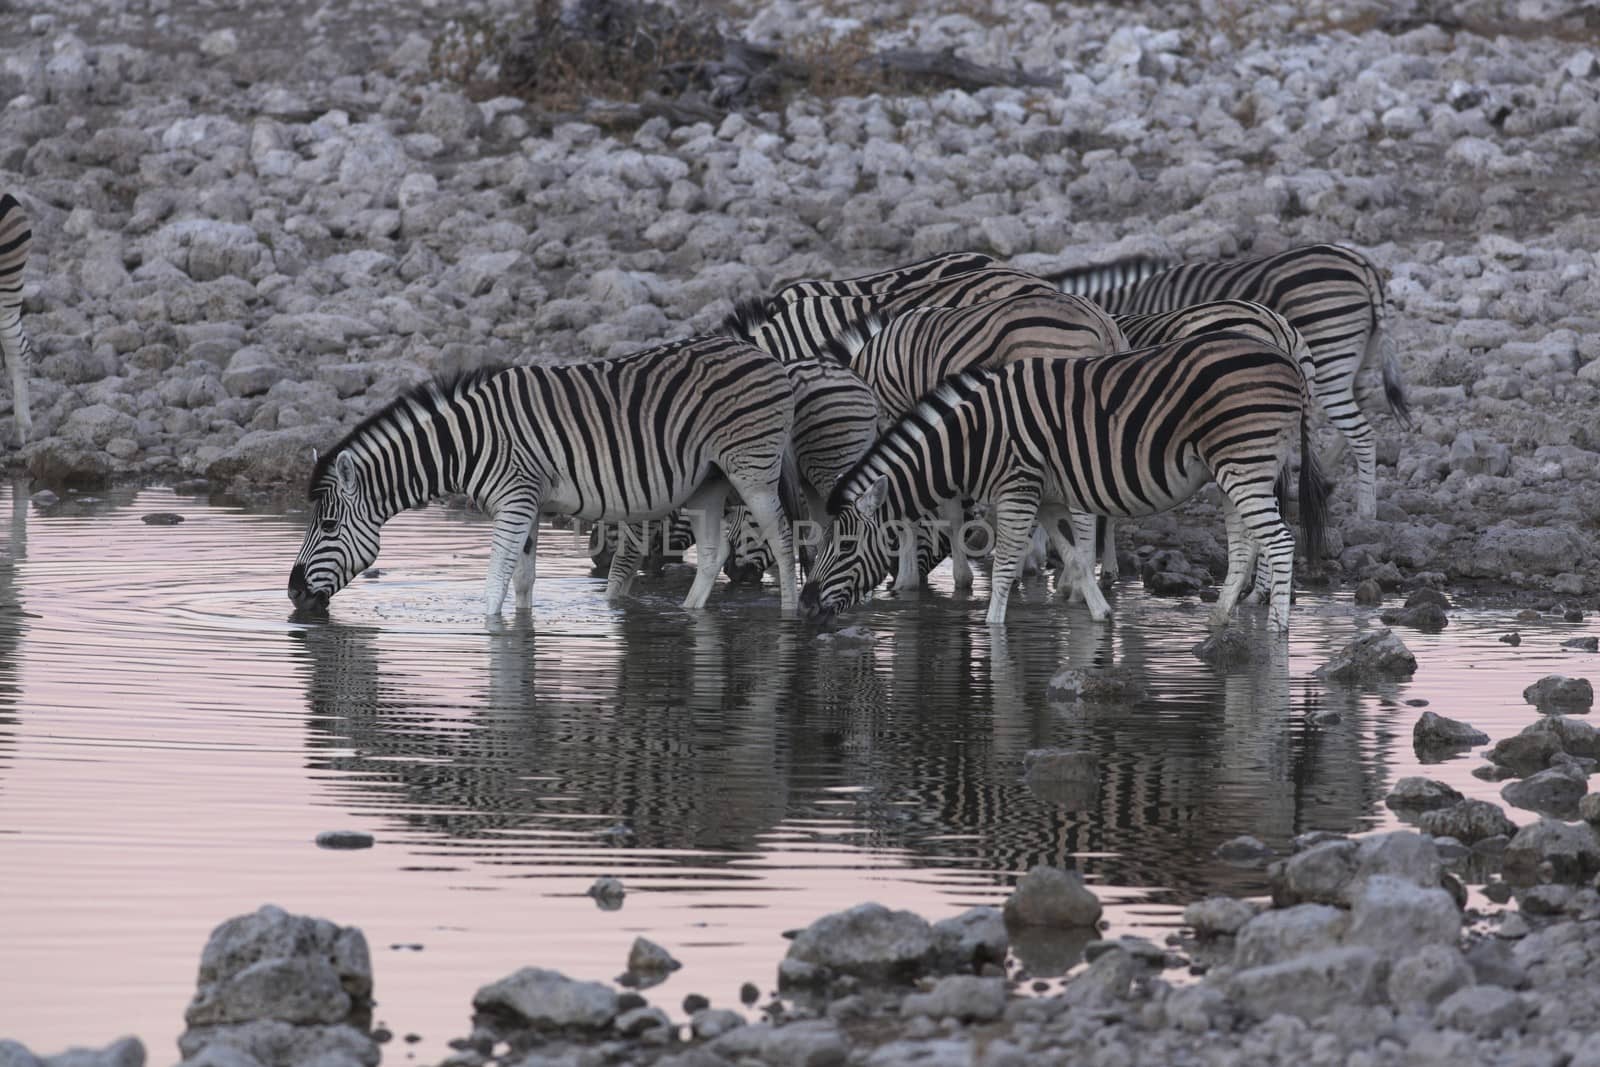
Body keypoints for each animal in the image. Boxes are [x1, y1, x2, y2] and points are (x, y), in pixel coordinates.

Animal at [288, 337, 800, 614]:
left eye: (328, 526)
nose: (292, 594)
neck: (467, 443)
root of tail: (761, 353)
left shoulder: (514, 502)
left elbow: (495, 581)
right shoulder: (527, 505)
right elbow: (522, 582)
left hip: (751, 468)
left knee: (782, 539)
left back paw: (791, 615)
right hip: (706, 483)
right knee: (713, 555)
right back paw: (690, 613)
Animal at [806, 334, 1331, 630]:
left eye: (846, 546)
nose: (809, 610)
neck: (974, 440)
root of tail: (1286, 361)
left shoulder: (1017, 490)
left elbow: (1005, 567)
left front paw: (993, 628)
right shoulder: (1049, 497)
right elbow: (1076, 555)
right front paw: (1101, 614)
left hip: (1244, 460)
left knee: (1279, 543)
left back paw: (1278, 632)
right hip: (1232, 468)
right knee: (1244, 547)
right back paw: (1219, 622)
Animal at [1049, 243, 1414, 524]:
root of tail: (1363, 266)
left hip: (1327, 357)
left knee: (1361, 432)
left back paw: (1365, 514)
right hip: (1358, 358)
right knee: (1358, 407)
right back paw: (1324, 481)